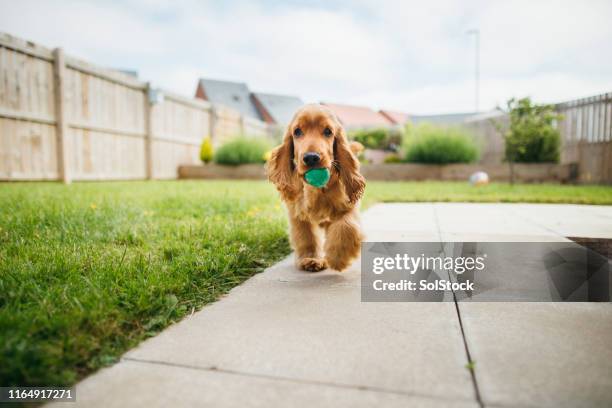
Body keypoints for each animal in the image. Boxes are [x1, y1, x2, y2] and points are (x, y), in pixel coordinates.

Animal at [266, 103, 364, 272]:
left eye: (328, 131)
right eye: (297, 132)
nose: (311, 157)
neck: (317, 190)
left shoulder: (348, 206)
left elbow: (346, 227)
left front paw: (338, 257)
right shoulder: (298, 213)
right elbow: (306, 236)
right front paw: (311, 258)